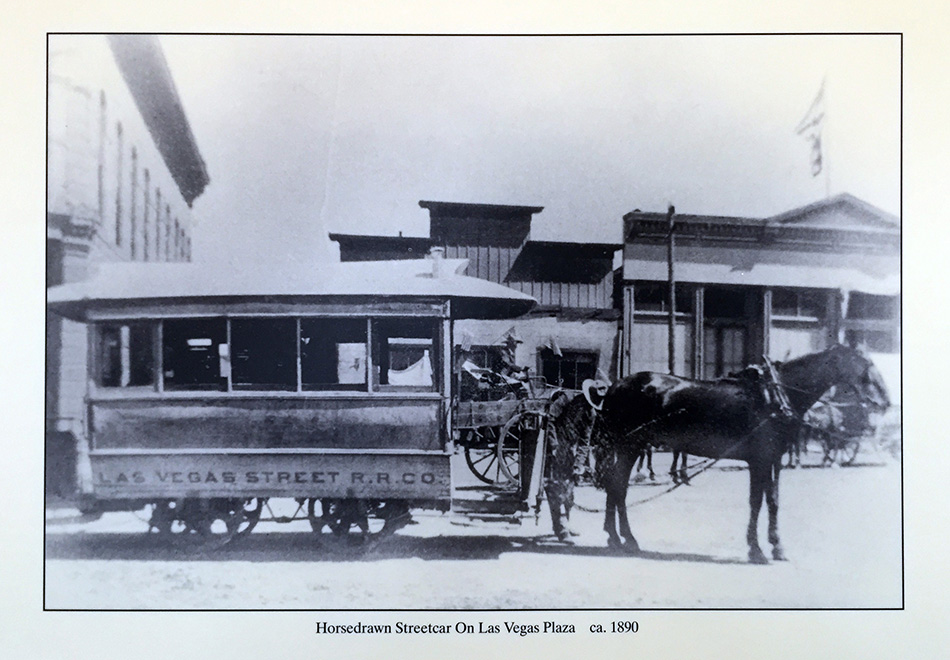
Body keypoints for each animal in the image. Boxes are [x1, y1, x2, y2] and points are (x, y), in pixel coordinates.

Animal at [596, 342, 892, 564]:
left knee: (615, 486)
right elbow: (756, 502)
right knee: (618, 487)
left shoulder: (774, 459)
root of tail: (615, 386)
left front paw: (777, 546)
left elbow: (773, 500)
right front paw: (756, 549)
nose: (886, 402)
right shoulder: (758, 460)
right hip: (630, 446)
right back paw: (627, 539)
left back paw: (614, 537)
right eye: (865, 366)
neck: (776, 396)